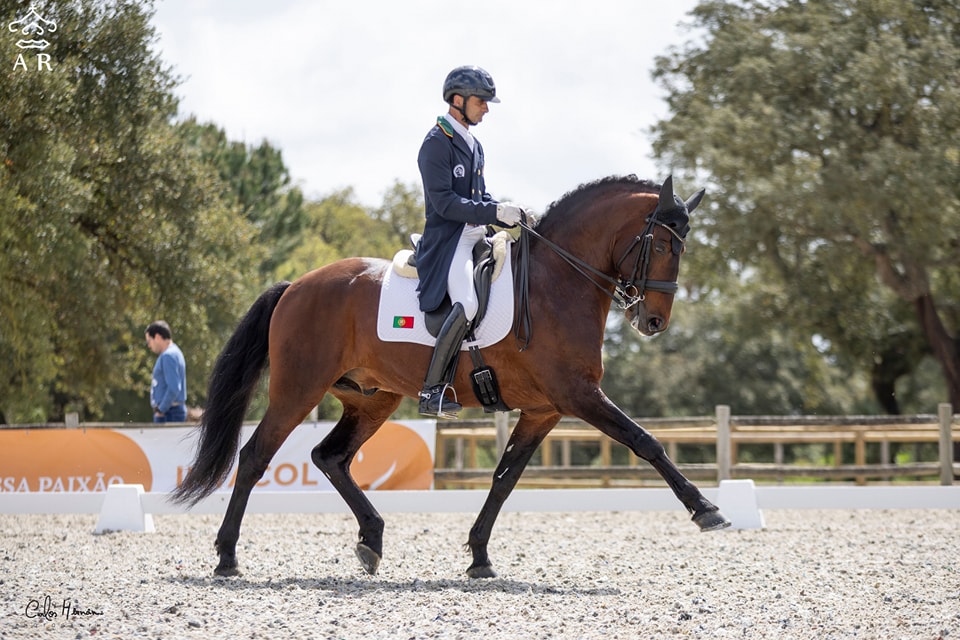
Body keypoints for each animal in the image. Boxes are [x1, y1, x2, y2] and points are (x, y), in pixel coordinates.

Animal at [171, 175, 728, 580]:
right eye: (663, 246)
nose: (653, 322)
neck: (556, 284)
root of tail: (295, 286)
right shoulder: (578, 395)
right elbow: (646, 441)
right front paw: (706, 510)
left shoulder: (544, 410)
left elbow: (505, 479)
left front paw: (479, 556)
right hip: (298, 389)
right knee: (254, 456)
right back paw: (227, 557)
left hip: (373, 398)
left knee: (330, 457)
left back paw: (371, 540)